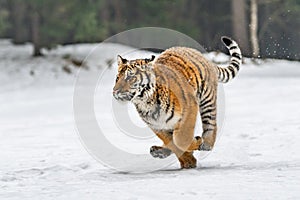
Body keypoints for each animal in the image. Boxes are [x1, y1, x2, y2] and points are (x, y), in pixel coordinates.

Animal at [112, 36, 241, 169]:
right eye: (117, 78)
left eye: (130, 78)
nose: (115, 91)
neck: (147, 103)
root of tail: (200, 55)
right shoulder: (157, 126)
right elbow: (172, 142)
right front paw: (188, 160)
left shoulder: (189, 109)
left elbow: (181, 139)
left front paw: (195, 146)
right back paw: (158, 151)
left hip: (207, 100)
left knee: (211, 125)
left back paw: (205, 143)